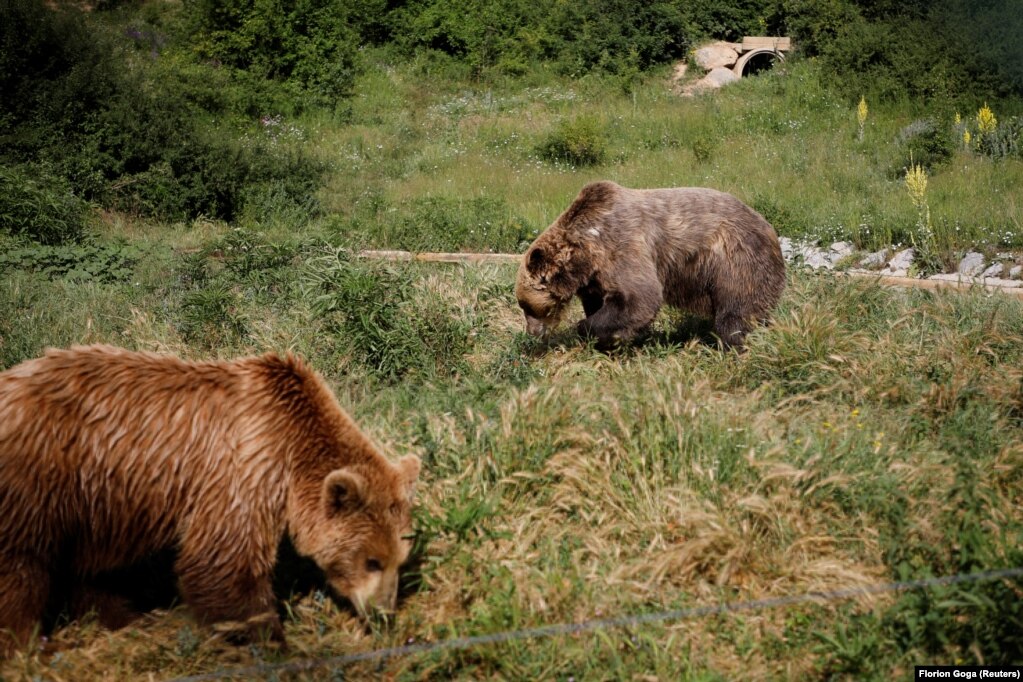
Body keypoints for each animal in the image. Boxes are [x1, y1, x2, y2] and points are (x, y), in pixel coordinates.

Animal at [0, 343, 421, 654]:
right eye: (371, 561)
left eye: (400, 559)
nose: (384, 613)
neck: (292, 447)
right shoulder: (244, 466)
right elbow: (223, 561)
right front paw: (271, 640)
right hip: (40, 478)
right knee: (22, 566)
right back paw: (31, 644)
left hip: (94, 496)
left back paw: (127, 617)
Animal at [515, 179, 785, 349]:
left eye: (528, 306)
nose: (532, 332)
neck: (585, 254)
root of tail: (770, 228)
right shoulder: (595, 277)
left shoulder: (621, 244)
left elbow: (640, 297)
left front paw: (590, 330)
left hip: (737, 260)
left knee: (736, 314)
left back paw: (735, 345)